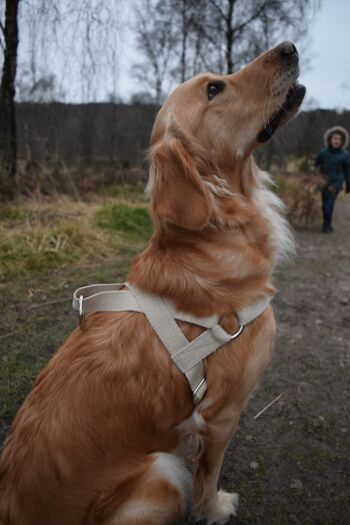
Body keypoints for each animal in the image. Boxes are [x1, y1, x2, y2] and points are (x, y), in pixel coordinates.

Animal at [0, 42, 304, 524]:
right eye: (214, 89)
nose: (289, 47)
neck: (217, 230)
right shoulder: (222, 415)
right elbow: (208, 476)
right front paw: (215, 508)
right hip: (162, 472)